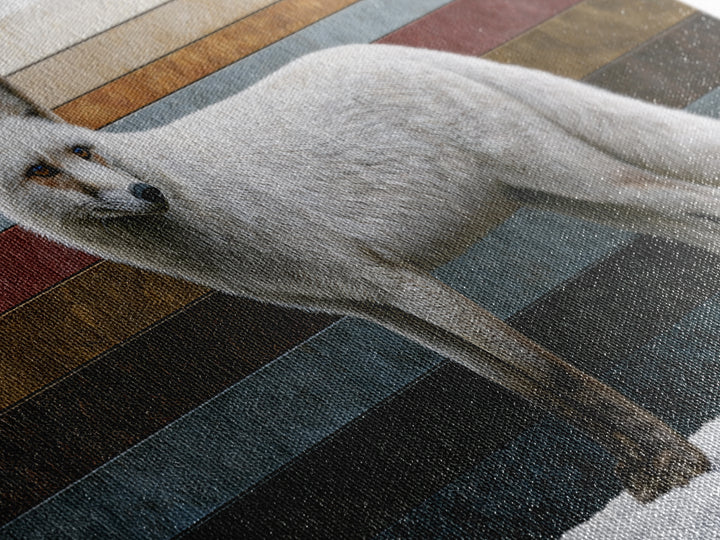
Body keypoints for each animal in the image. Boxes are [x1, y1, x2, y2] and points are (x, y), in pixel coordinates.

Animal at [0, 44, 716, 502]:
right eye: (41, 171)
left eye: (81, 149)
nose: (146, 193)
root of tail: (367, 48)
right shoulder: (371, 303)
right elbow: (535, 384)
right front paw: (656, 472)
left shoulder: (393, 277)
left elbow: (549, 371)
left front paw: (675, 466)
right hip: (571, 196)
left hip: (572, 178)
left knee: (697, 204)